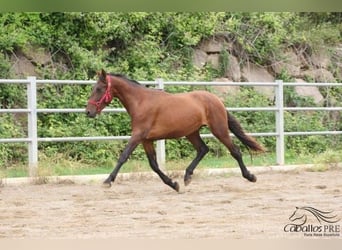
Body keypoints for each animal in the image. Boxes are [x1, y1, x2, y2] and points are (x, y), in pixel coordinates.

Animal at [85, 68, 264, 191]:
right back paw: (187, 177)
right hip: (192, 132)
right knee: (203, 149)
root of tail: (217, 100)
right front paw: (173, 184)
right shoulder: (146, 140)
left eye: (99, 89)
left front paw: (107, 181)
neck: (140, 102)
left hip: (218, 129)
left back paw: (250, 176)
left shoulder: (138, 136)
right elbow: (154, 165)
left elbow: (123, 157)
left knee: (235, 151)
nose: (88, 112)